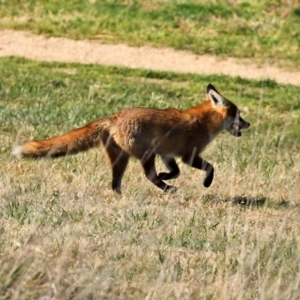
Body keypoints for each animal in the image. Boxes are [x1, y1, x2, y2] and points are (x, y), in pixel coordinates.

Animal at [11, 84, 250, 192]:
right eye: (239, 115)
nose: (249, 124)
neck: (205, 122)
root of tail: (113, 117)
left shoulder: (168, 155)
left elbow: (175, 172)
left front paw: (167, 175)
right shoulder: (188, 155)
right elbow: (210, 168)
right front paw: (206, 183)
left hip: (122, 159)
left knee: (115, 183)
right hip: (146, 155)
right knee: (149, 177)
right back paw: (167, 189)